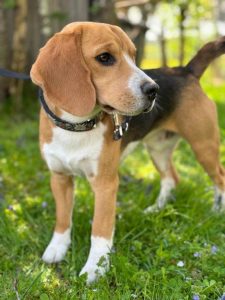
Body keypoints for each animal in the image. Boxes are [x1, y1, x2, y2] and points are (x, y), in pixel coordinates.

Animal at [30, 21, 225, 284]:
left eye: (133, 56)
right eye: (104, 57)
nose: (153, 90)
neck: (76, 127)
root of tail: (185, 70)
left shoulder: (105, 184)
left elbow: (100, 230)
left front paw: (95, 269)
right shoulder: (59, 177)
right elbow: (62, 218)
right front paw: (57, 249)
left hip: (204, 146)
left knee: (219, 179)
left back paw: (217, 212)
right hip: (158, 149)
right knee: (172, 178)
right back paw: (156, 209)